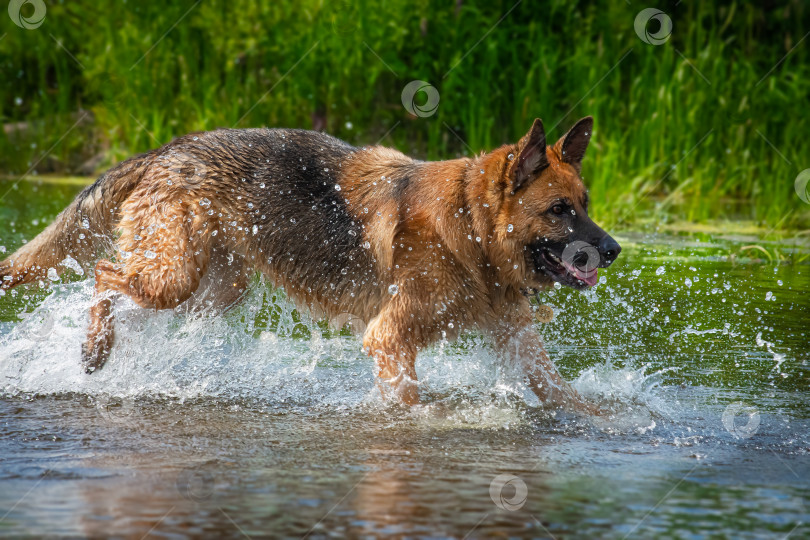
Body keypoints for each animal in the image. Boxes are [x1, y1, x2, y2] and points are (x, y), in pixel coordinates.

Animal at [0, 118, 620, 412]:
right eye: (560, 210)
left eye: (586, 205)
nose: (613, 250)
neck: (471, 227)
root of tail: (168, 150)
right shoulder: (390, 339)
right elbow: (413, 403)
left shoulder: (519, 344)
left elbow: (569, 398)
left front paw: (612, 421)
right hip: (173, 277)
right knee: (104, 277)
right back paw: (95, 349)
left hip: (212, 292)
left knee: (128, 299)